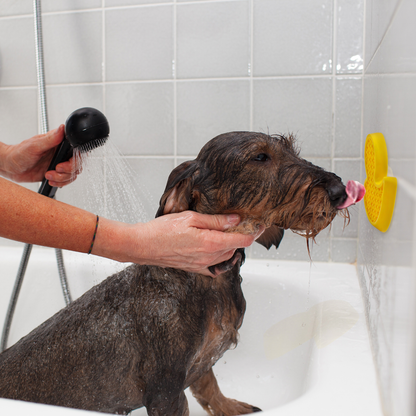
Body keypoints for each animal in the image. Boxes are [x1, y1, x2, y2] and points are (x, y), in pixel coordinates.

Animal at [0, 133, 358, 416]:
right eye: (260, 156)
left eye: (291, 148)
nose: (340, 190)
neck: (206, 282)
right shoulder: (165, 391)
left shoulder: (200, 366)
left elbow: (211, 391)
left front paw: (232, 408)